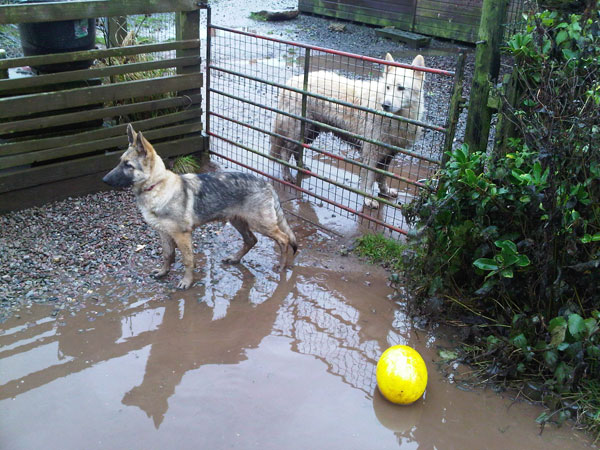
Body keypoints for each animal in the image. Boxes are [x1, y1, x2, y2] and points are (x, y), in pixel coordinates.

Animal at [105, 125, 300, 290]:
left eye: (128, 165)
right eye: (120, 162)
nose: (104, 180)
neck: (157, 185)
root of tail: (266, 183)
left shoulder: (182, 235)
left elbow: (187, 260)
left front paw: (186, 281)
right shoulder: (164, 233)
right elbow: (168, 255)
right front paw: (163, 271)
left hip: (260, 223)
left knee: (283, 239)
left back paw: (282, 266)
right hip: (238, 221)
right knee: (251, 240)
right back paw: (235, 258)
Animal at [270, 53, 424, 208]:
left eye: (401, 88)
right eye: (387, 87)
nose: (385, 105)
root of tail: (290, 82)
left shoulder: (388, 154)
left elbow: (382, 176)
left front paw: (385, 191)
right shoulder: (371, 153)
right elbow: (369, 179)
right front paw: (368, 198)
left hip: (310, 131)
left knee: (297, 149)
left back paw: (301, 166)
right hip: (297, 131)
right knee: (285, 152)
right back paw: (287, 175)